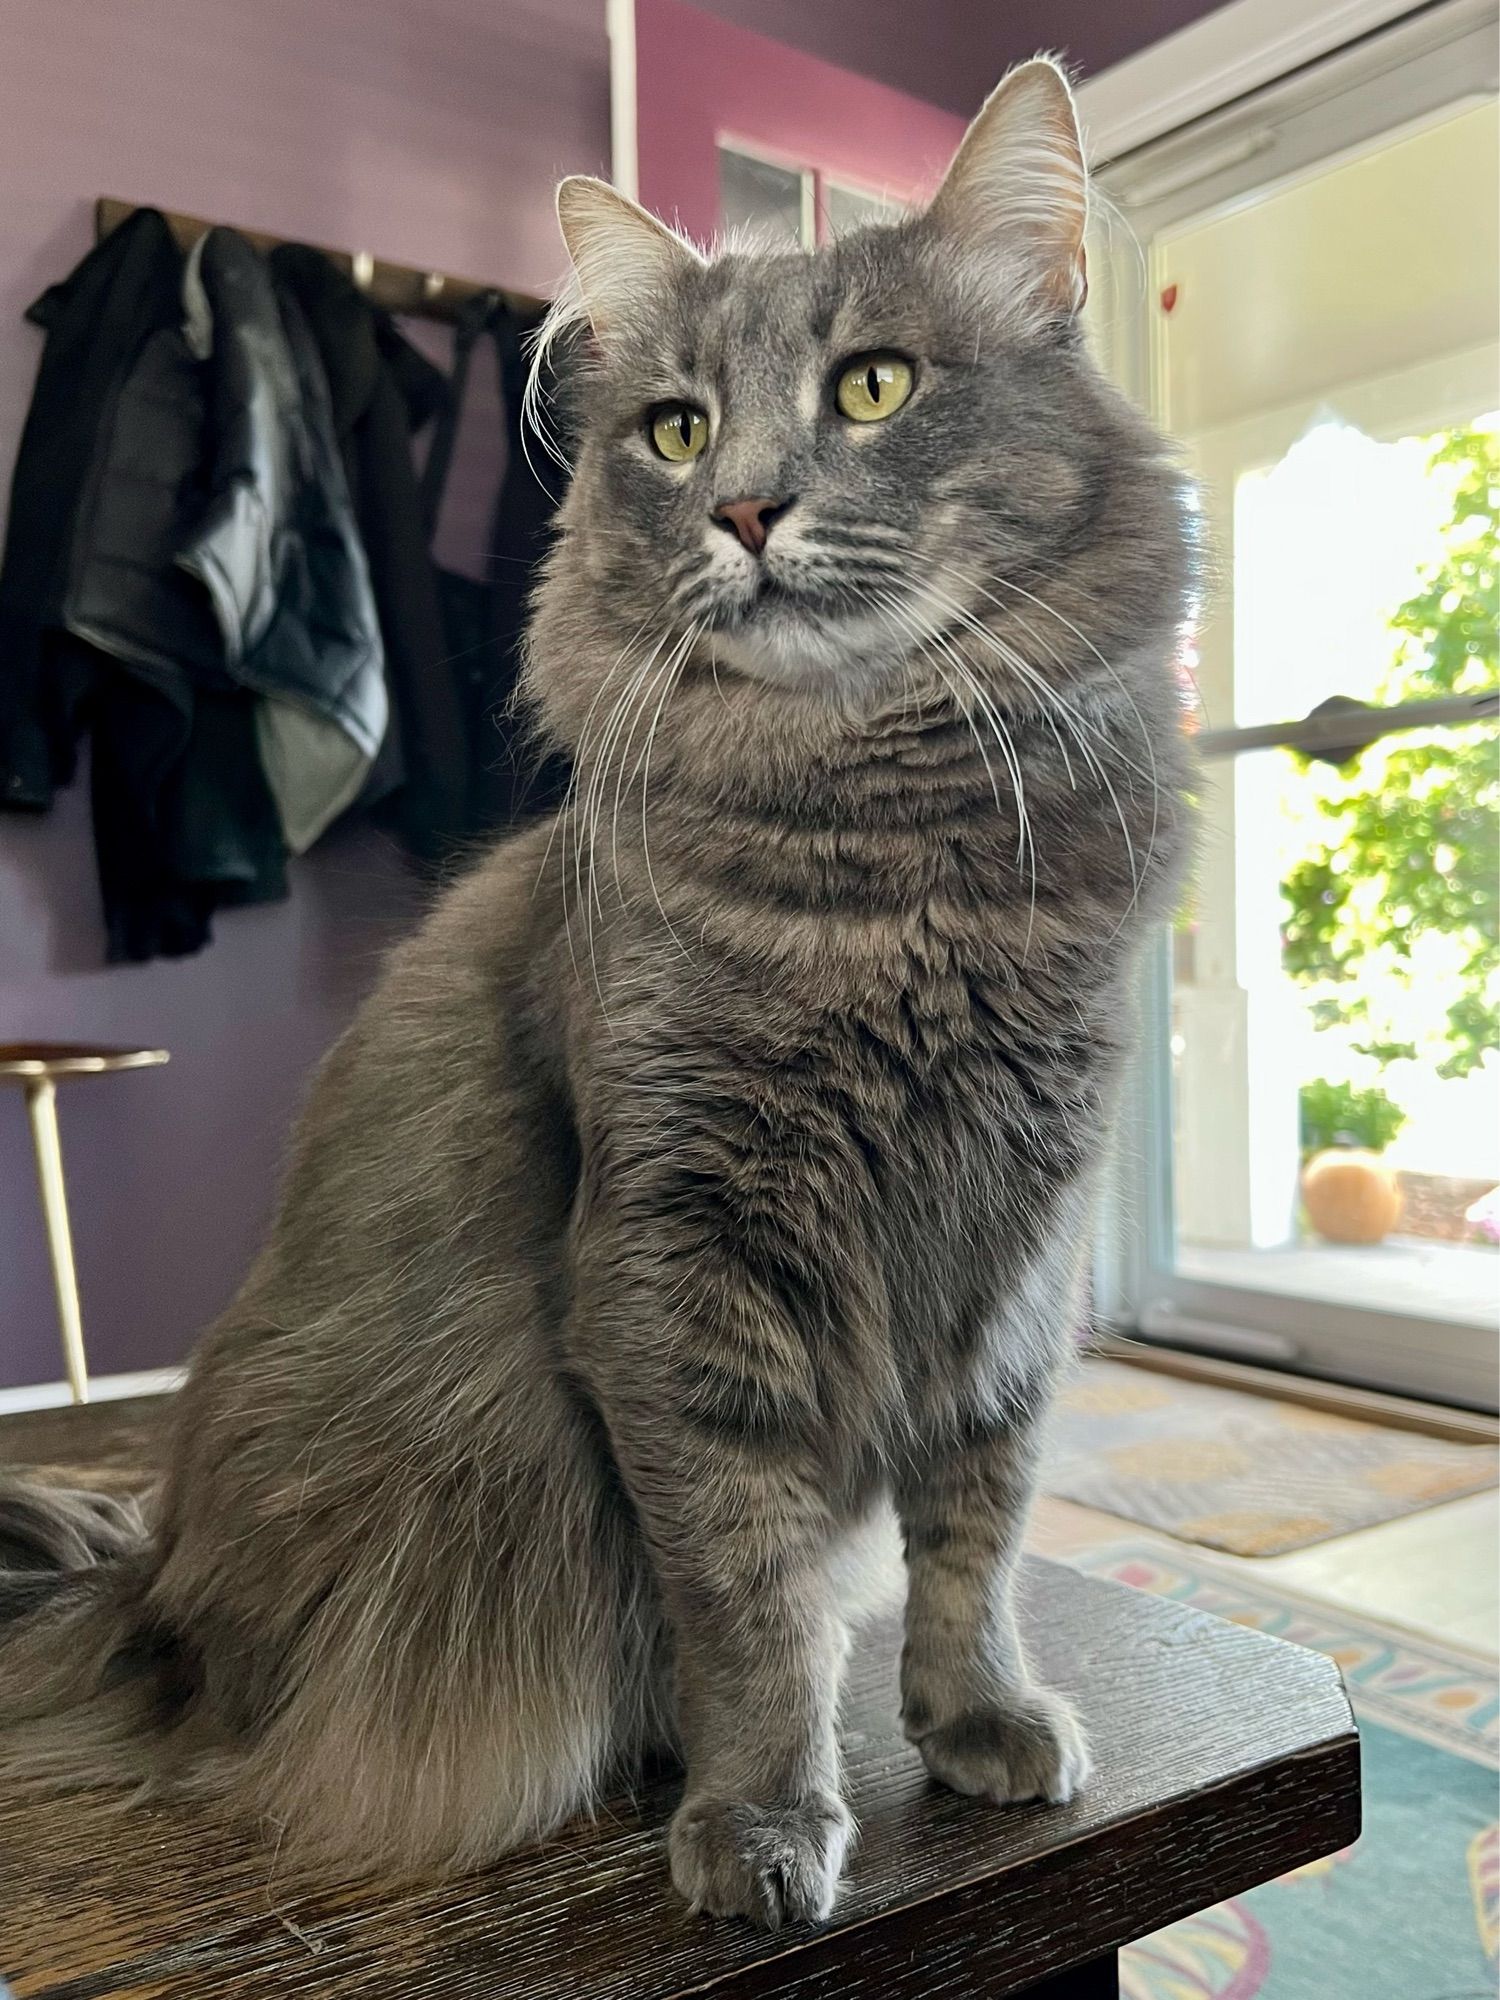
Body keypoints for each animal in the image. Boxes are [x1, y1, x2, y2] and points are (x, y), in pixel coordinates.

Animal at [0, 62, 1200, 1928]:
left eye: (873, 386)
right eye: (680, 432)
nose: (746, 508)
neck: (889, 875)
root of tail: (155, 1612)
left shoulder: (1015, 1255)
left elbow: (975, 1531)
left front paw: (977, 1721)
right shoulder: (674, 1265)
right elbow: (746, 1594)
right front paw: (762, 1822)